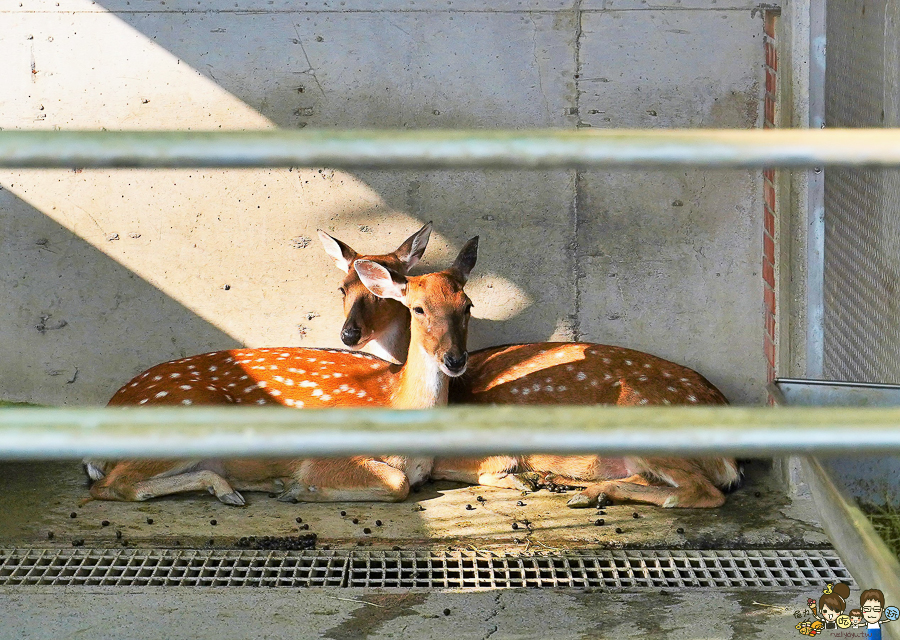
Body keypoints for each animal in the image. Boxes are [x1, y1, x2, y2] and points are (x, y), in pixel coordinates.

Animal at [84, 238, 478, 508]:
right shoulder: (330, 454)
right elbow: (398, 483)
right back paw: (235, 489)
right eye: (418, 309)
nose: (455, 359)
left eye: (468, 306)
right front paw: (298, 488)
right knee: (112, 485)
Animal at [320, 228, 740, 508]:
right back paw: (569, 484)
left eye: (468, 305)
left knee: (702, 491)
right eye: (343, 289)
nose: (349, 333)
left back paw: (581, 491)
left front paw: (522, 476)